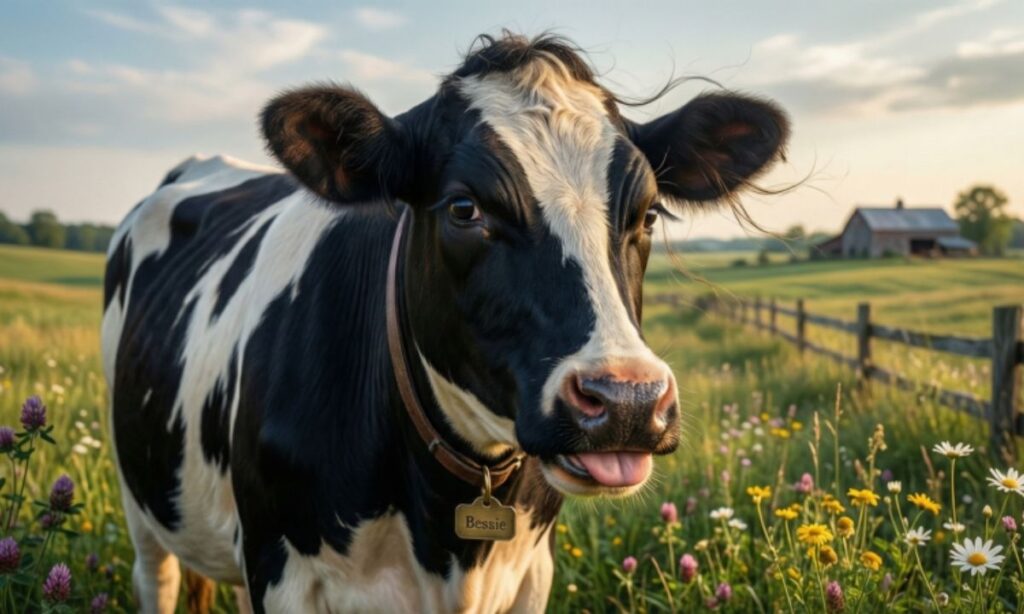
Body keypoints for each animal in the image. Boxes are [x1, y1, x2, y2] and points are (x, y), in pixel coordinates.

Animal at [102, 33, 789, 613]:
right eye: (464, 208)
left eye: (647, 214)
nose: (627, 401)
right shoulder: (281, 569)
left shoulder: (531, 574)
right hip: (142, 504)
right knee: (157, 576)